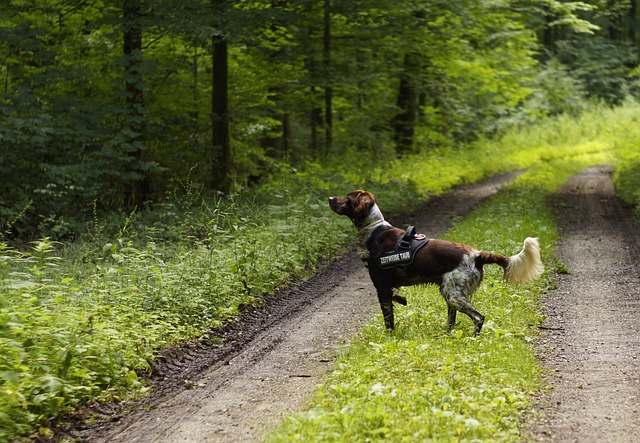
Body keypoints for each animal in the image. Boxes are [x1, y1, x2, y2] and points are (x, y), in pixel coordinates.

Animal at [330, 191, 544, 336]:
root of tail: (477, 254)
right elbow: (396, 298)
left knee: (478, 317)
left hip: (454, 294)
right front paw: (401, 299)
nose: (330, 198)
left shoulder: (381, 287)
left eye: (347, 198)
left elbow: (388, 320)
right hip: (449, 293)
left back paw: (473, 337)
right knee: (452, 320)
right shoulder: (388, 287)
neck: (374, 230)